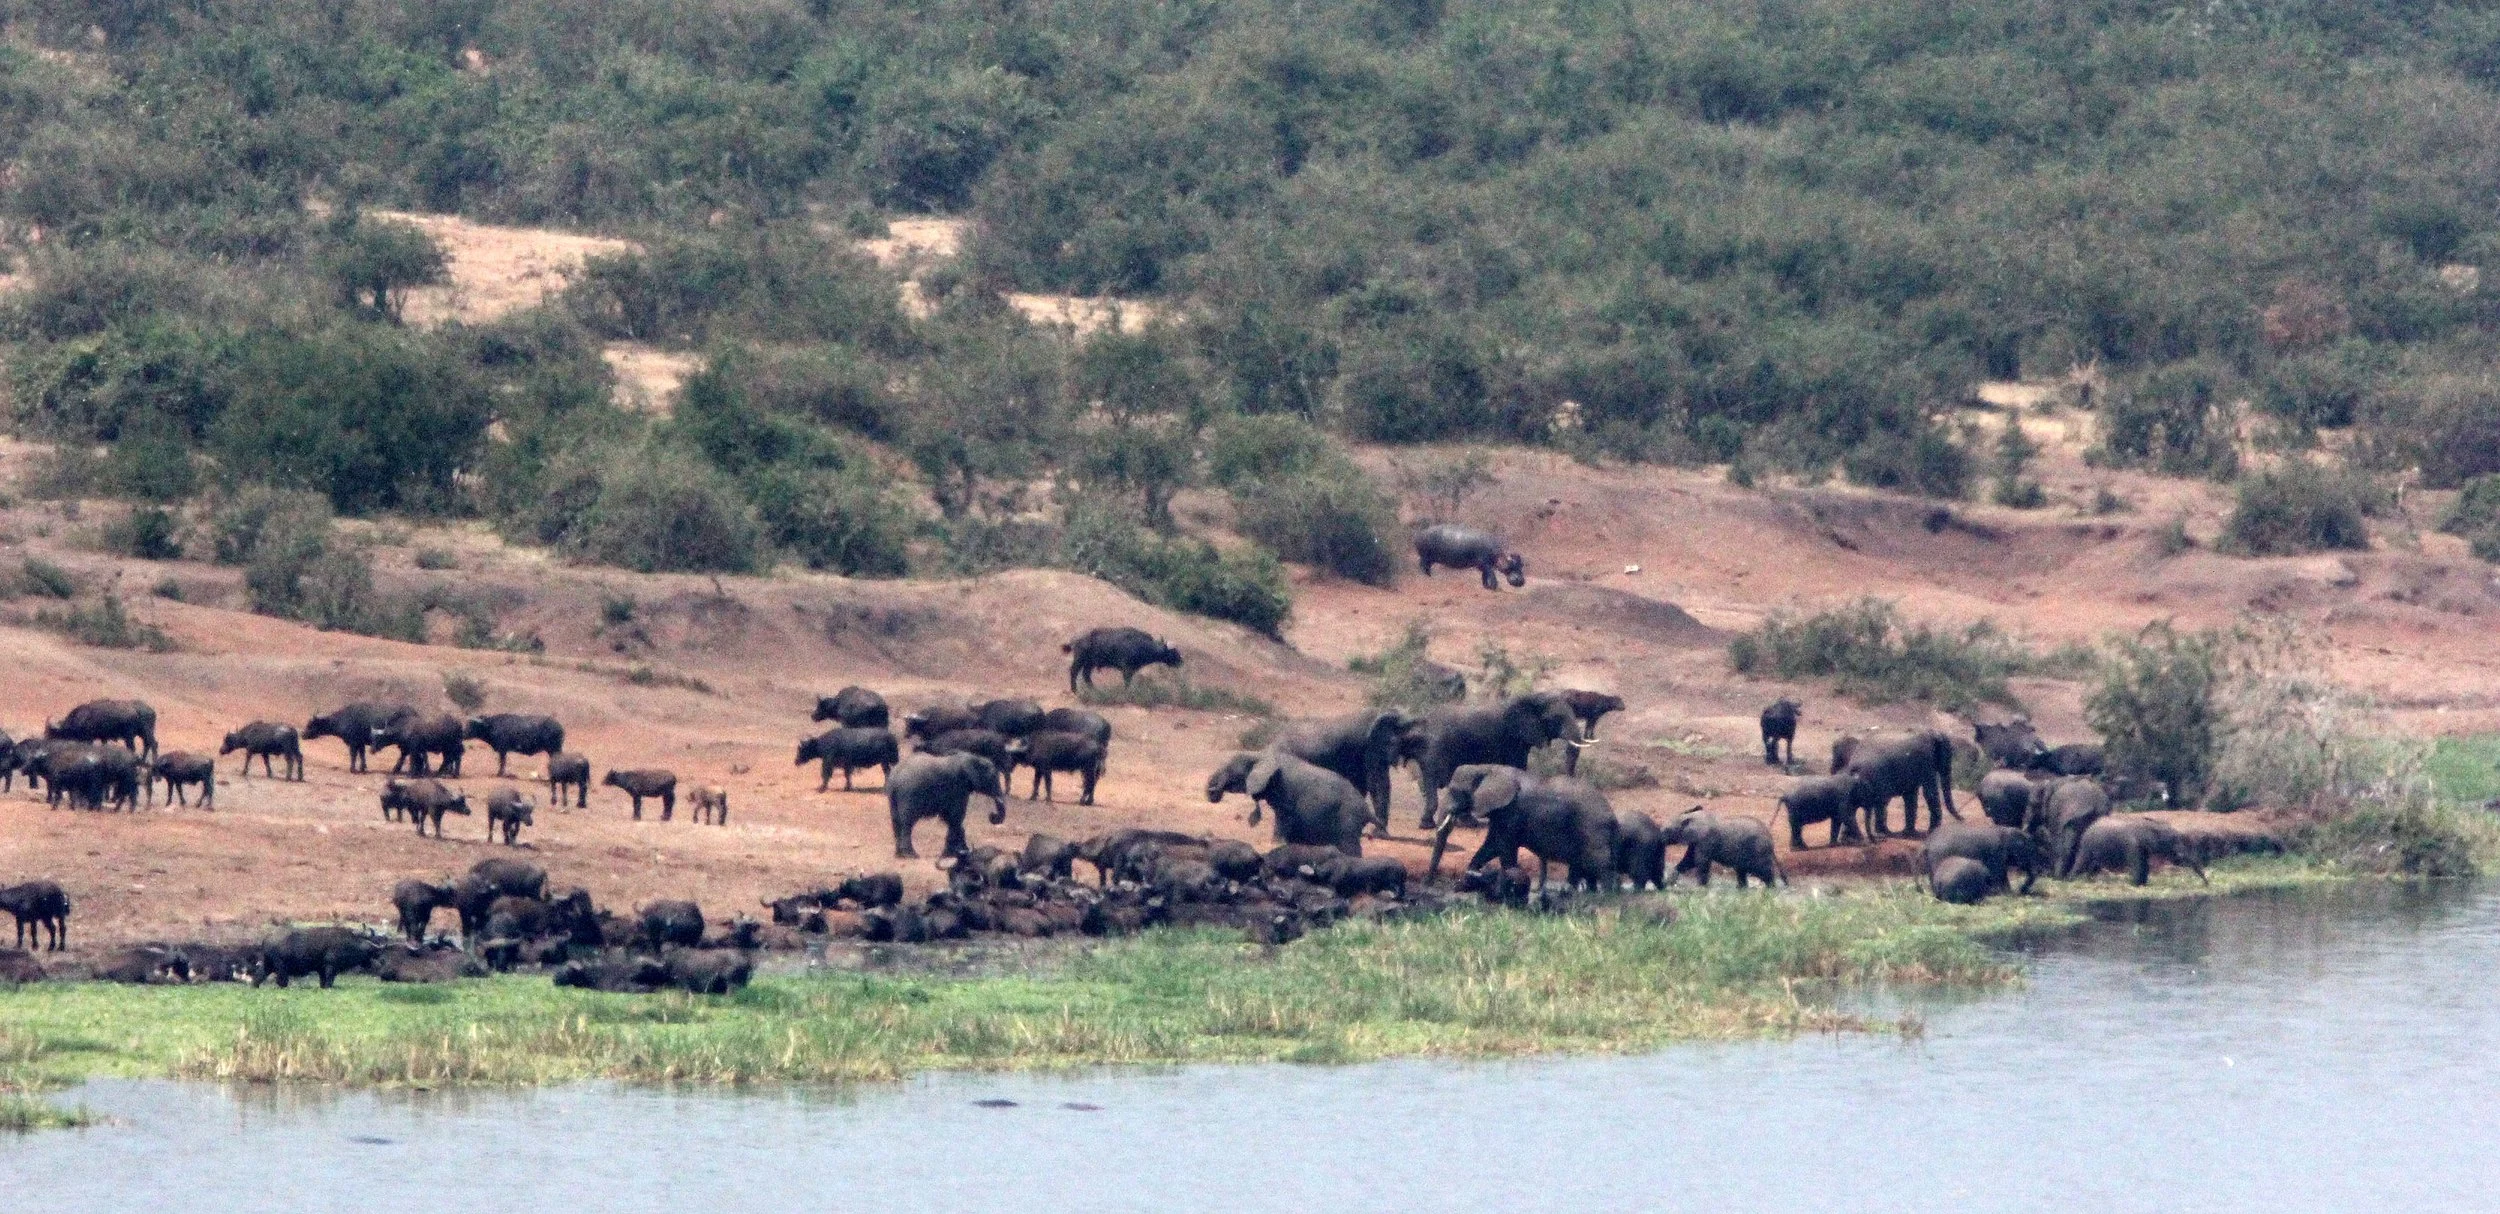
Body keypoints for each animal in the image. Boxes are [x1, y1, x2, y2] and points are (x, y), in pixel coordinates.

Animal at [1205, 752, 1368, 855]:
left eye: (1230, 769)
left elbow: (1283, 818)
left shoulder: (1285, 792)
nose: (1212, 793)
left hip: (1349, 814)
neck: (1259, 755)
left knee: (1349, 844)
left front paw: (1276, 845)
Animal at [1409, 692, 1584, 829]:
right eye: (1557, 718)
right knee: (1434, 779)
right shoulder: (1511, 737)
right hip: (1437, 748)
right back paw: (1428, 825)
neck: (1534, 697)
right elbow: (1517, 765)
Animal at [1428, 765, 1619, 893]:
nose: (1428, 883)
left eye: (1455, 791)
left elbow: (1505, 849)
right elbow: (1491, 846)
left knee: (1600, 864)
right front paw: (1467, 882)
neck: (1487, 768)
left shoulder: (1512, 810)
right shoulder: (1501, 812)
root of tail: (1612, 816)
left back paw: (1608, 895)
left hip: (1593, 829)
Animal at [2069, 816, 2207, 886]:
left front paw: (2143, 885)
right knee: (2082, 863)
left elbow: (2145, 865)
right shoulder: (2132, 845)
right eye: (2173, 840)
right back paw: (2072, 880)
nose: (2207, 884)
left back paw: (2090, 881)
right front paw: (2136, 884)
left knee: (2093, 865)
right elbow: (2138, 865)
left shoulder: (2142, 848)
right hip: (2087, 846)